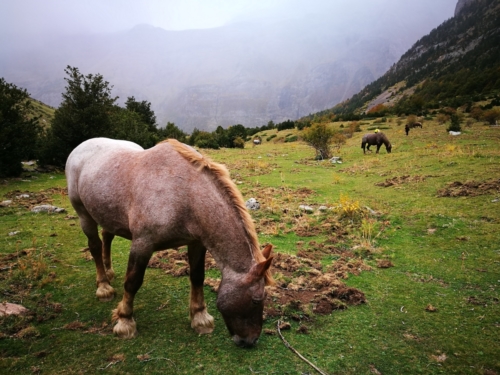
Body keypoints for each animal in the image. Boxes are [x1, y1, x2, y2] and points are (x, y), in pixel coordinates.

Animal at [66, 137, 274, 346]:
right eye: (256, 300)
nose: (251, 340)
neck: (184, 194)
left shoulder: (196, 243)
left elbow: (197, 277)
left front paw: (200, 318)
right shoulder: (142, 243)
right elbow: (132, 281)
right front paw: (125, 322)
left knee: (107, 237)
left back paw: (109, 272)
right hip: (84, 214)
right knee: (95, 246)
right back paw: (103, 286)